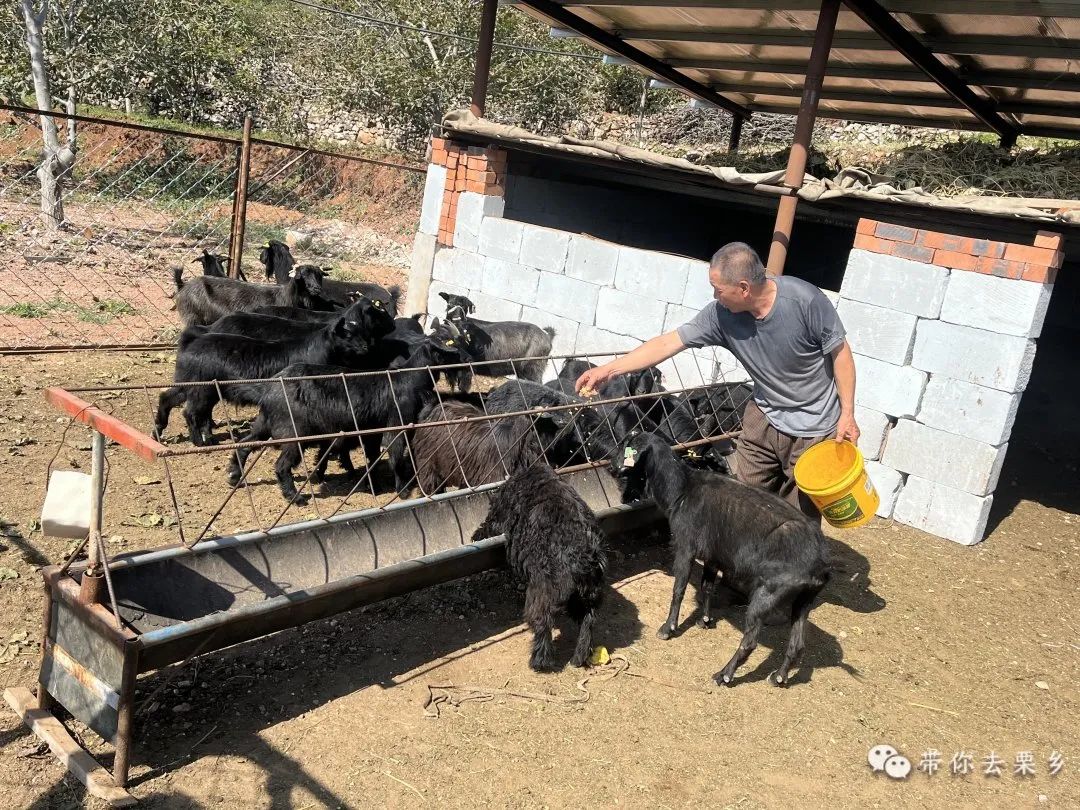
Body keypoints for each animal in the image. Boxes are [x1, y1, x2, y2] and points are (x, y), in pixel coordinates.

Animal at [154, 297, 393, 446]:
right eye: (348, 333)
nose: (365, 347)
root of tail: (197, 335)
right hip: (201, 391)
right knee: (191, 413)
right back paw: (201, 442)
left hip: (188, 384)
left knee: (168, 397)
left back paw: (159, 432)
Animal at [226, 325, 469, 503]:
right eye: (450, 346)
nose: (467, 360)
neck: (409, 379)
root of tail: (268, 388)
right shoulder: (397, 425)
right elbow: (396, 458)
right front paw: (403, 491)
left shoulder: (372, 432)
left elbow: (372, 459)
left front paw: (373, 485)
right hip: (294, 433)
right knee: (281, 466)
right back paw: (295, 498)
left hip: (265, 423)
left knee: (245, 444)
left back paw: (234, 475)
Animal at [471, 463, 607, 671]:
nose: (473, 538)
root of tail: (584, 558)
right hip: (587, 596)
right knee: (588, 622)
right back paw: (579, 657)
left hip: (541, 593)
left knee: (543, 623)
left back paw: (540, 661)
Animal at [611, 431, 831, 687]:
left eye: (626, 446)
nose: (611, 468)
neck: (683, 489)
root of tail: (821, 565)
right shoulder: (713, 556)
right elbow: (707, 586)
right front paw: (705, 620)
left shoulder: (686, 547)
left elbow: (678, 589)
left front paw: (668, 628)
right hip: (804, 599)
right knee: (797, 645)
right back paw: (778, 677)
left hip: (769, 591)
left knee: (750, 642)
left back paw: (724, 674)